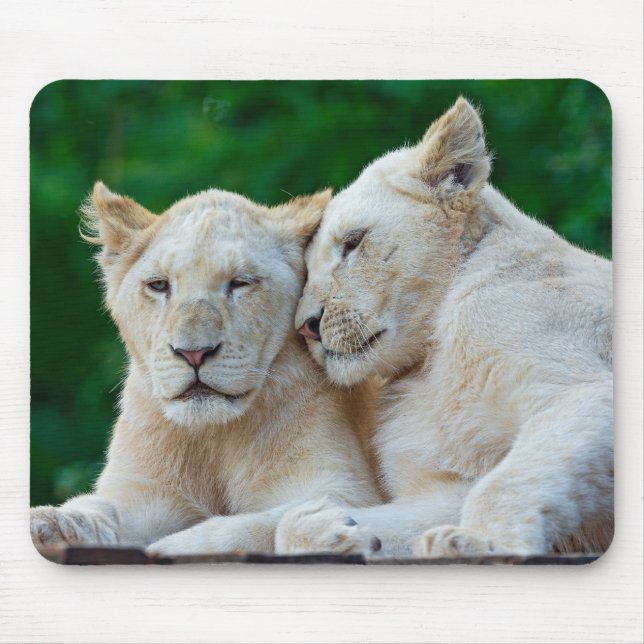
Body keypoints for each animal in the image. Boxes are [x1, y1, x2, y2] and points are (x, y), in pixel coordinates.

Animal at [30, 182, 384, 557]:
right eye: (158, 285)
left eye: (240, 283)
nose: (194, 353)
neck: (211, 437)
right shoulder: (141, 492)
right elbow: (98, 509)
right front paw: (51, 522)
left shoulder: (342, 485)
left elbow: (245, 526)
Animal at [288, 97, 613, 557]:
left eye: (353, 242)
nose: (306, 327)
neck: (431, 362)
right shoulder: (446, 482)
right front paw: (328, 529)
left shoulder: (583, 390)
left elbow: (507, 483)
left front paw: (476, 543)